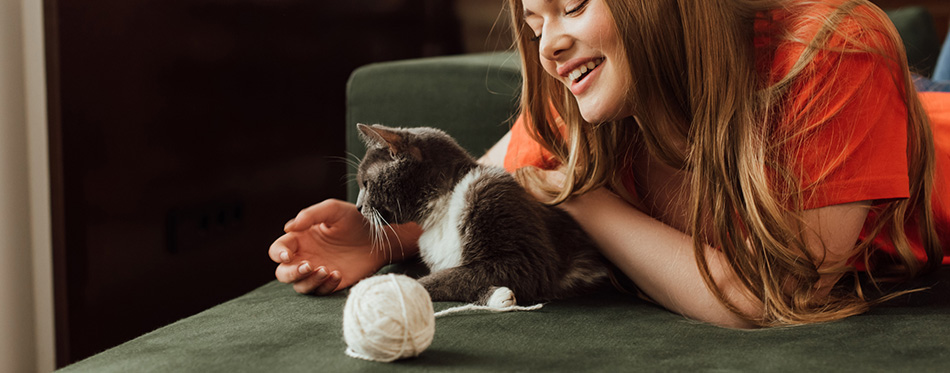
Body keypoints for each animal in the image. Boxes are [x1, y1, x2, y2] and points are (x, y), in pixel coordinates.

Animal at [356, 123, 608, 306]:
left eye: (366, 184)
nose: (358, 207)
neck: (442, 210)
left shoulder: (496, 199)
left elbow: (455, 276)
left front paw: (385, 287)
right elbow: (459, 275)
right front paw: (498, 296)